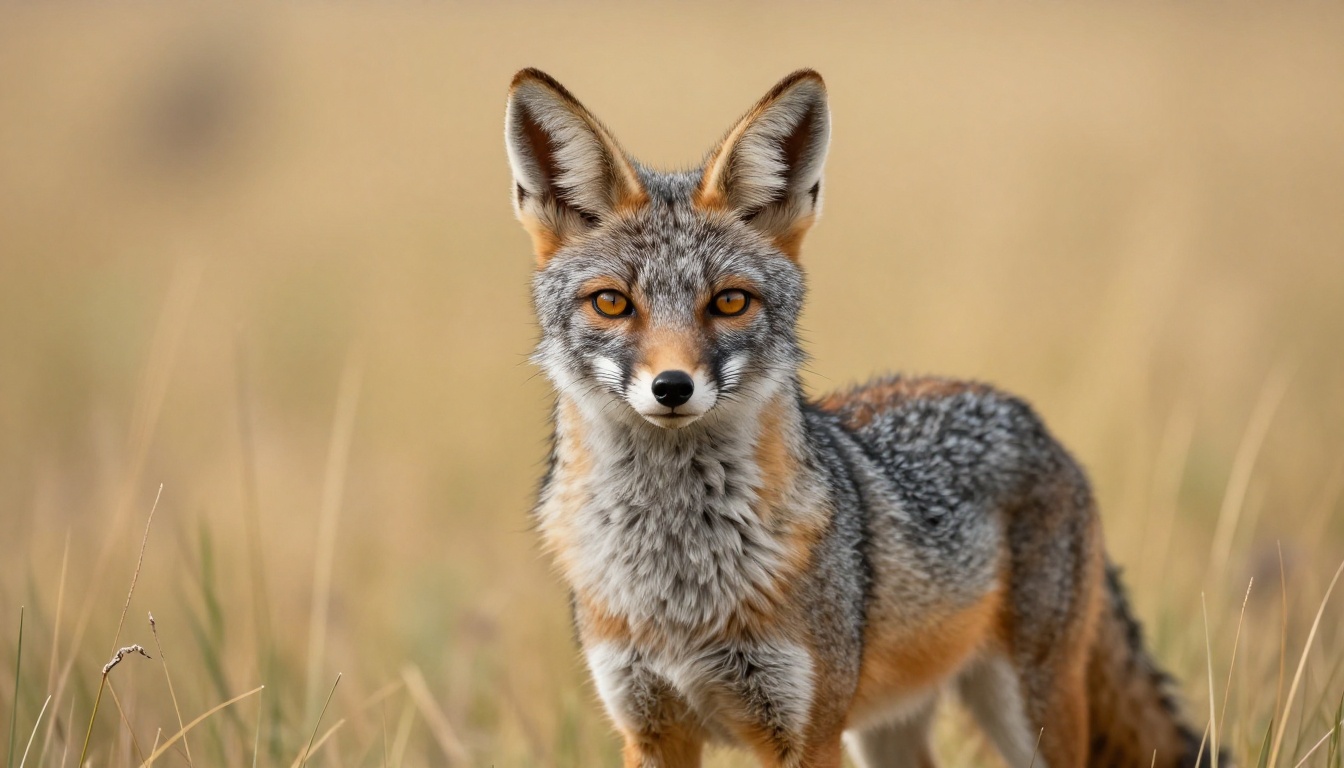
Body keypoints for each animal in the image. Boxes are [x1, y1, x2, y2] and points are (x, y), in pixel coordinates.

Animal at [504, 68, 1221, 768]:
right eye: (612, 303)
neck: (678, 586)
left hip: (1029, 717)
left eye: (730, 302)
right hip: (890, 735)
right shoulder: (650, 729)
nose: (672, 387)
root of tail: (1032, 418)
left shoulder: (807, 734)